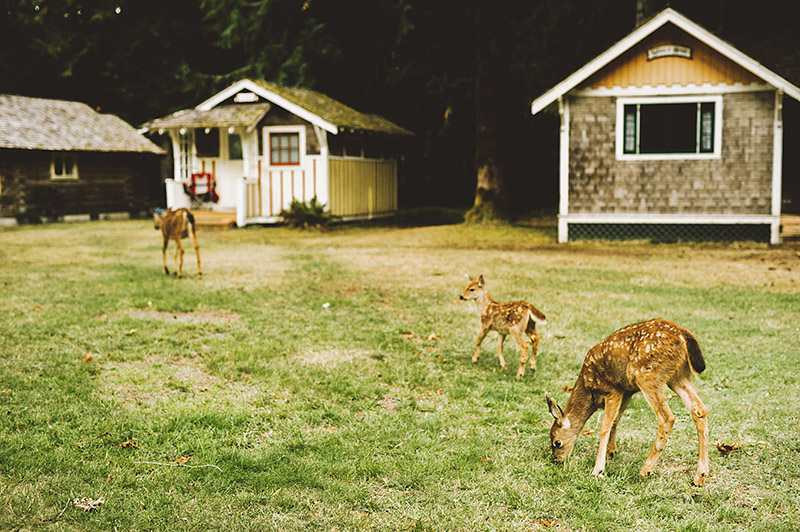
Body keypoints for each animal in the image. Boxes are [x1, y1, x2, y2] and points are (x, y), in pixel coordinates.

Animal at [545, 319, 709, 486]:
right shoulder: (626, 391)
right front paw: (611, 451)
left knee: (667, 417)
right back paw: (699, 476)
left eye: (557, 442)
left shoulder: (612, 390)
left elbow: (605, 425)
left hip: (647, 375)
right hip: (678, 376)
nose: (557, 460)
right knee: (699, 410)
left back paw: (645, 470)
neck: (589, 390)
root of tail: (684, 336)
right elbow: (616, 419)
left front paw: (598, 469)